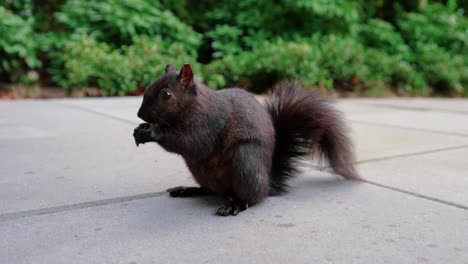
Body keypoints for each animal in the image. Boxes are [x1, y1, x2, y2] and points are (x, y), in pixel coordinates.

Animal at [133, 64, 360, 217]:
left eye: (166, 94)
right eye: (149, 86)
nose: (140, 114)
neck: (192, 106)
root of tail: (267, 185)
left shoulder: (209, 122)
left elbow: (195, 144)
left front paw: (151, 132)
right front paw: (140, 129)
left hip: (246, 162)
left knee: (251, 198)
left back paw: (236, 204)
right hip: (202, 173)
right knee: (208, 189)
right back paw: (188, 190)